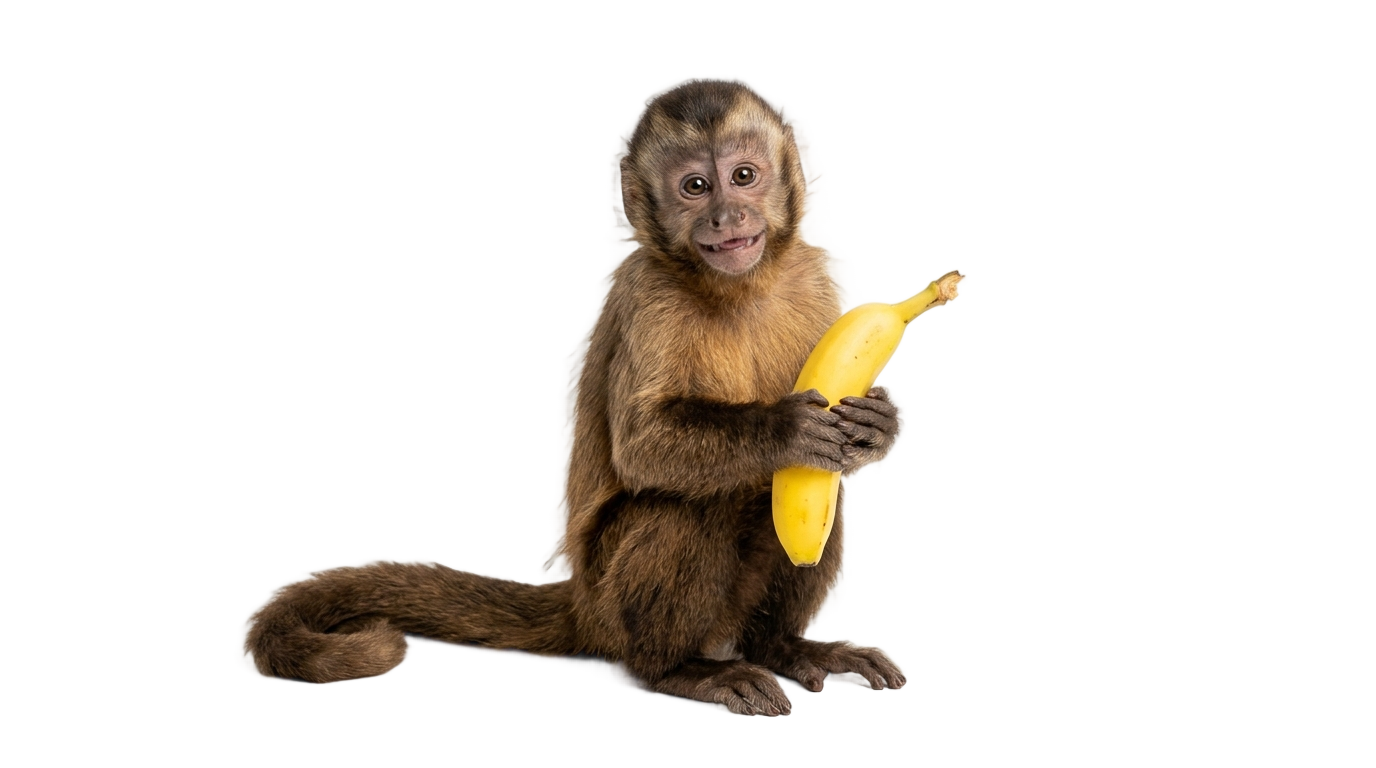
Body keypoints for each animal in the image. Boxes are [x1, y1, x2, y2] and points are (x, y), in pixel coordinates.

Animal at [247, 80, 905, 715]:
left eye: (744, 176)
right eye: (695, 187)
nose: (727, 216)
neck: (734, 287)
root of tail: (583, 605)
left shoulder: (809, 274)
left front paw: (877, 424)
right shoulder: (649, 295)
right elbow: (645, 447)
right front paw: (786, 431)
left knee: (814, 487)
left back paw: (779, 648)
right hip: (610, 600)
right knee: (695, 506)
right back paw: (677, 669)